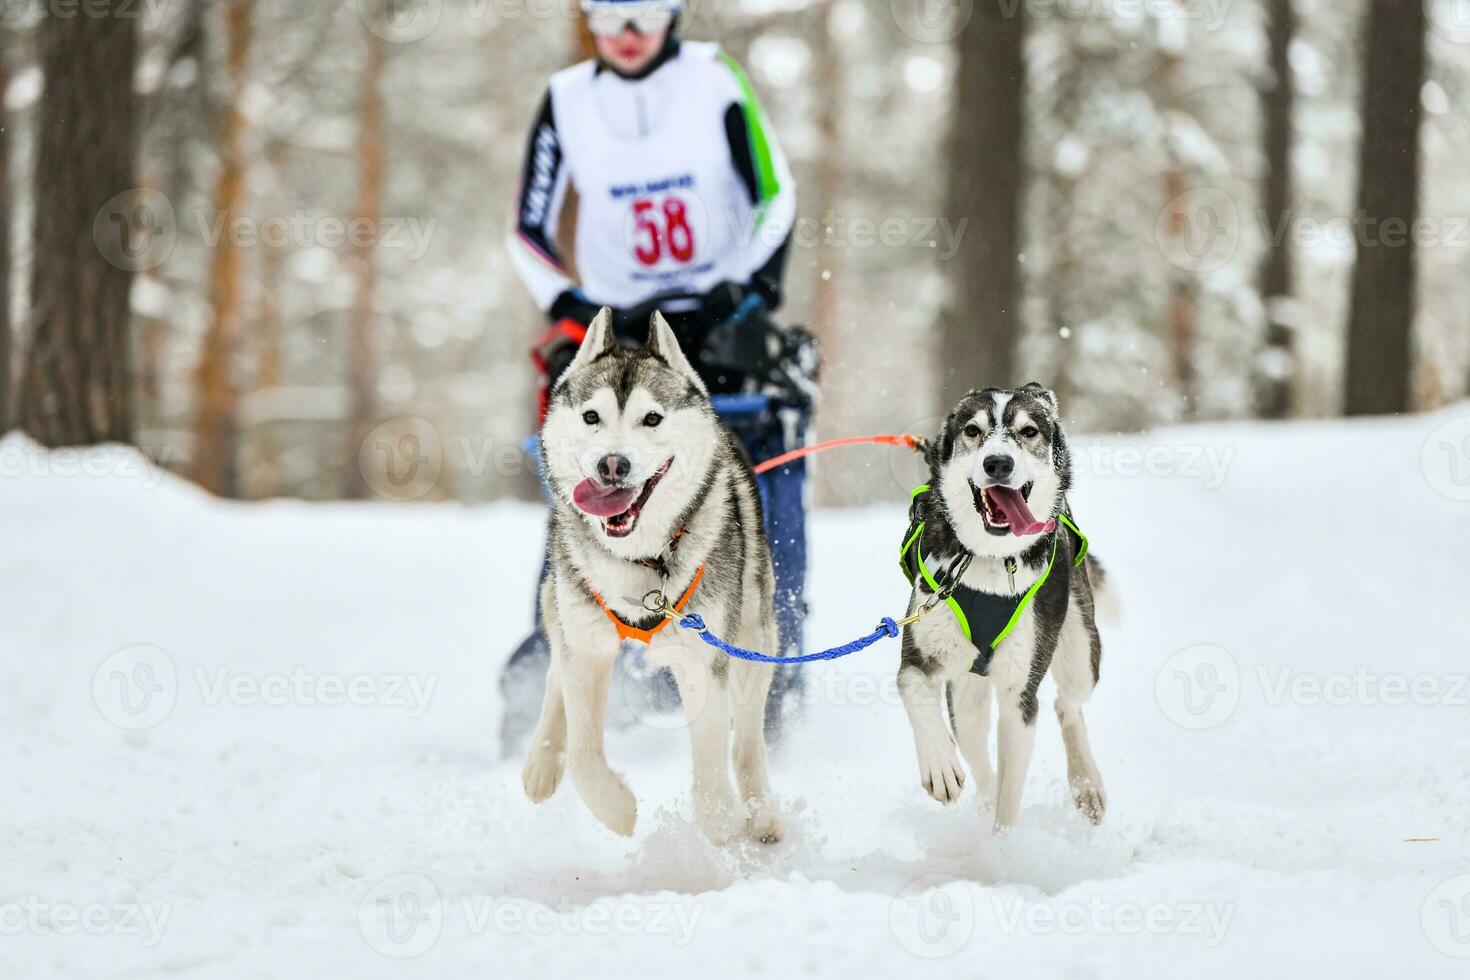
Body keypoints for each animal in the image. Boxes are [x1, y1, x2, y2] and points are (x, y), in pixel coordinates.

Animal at [526, 307, 787, 846]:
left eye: (652, 418)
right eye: (591, 417)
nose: (613, 464)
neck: (641, 560)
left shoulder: (704, 659)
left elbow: (711, 759)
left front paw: (720, 819)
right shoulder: (586, 649)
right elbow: (583, 754)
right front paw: (617, 810)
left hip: (754, 639)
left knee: (748, 740)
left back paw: (761, 814)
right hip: (557, 603)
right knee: (555, 671)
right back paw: (540, 764)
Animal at [887, 387, 1105, 834]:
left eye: (1029, 430)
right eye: (973, 430)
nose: (998, 462)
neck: (988, 559)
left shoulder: (1019, 696)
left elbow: (1009, 799)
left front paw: (1003, 848)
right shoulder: (920, 656)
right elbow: (912, 690)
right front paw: (940, 766)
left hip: (1080, 653)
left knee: (1067, 705)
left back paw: (1087, 784)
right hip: (965, 692)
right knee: (978, 756)